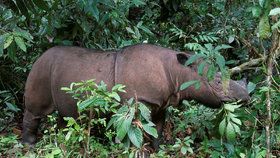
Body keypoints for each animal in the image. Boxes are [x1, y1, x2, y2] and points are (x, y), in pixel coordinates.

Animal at [22, 43, 249, 145]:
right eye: (217, 83)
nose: (246, 98)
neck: (178, 72)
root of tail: (39, 57)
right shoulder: (139, 101)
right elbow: (133, 130)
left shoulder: (160, 102)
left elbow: (157, 128)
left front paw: (156, 149)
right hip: (41, 69)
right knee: (35, 111)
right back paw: (29, 145)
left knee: (66, 115)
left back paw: (64, 143)